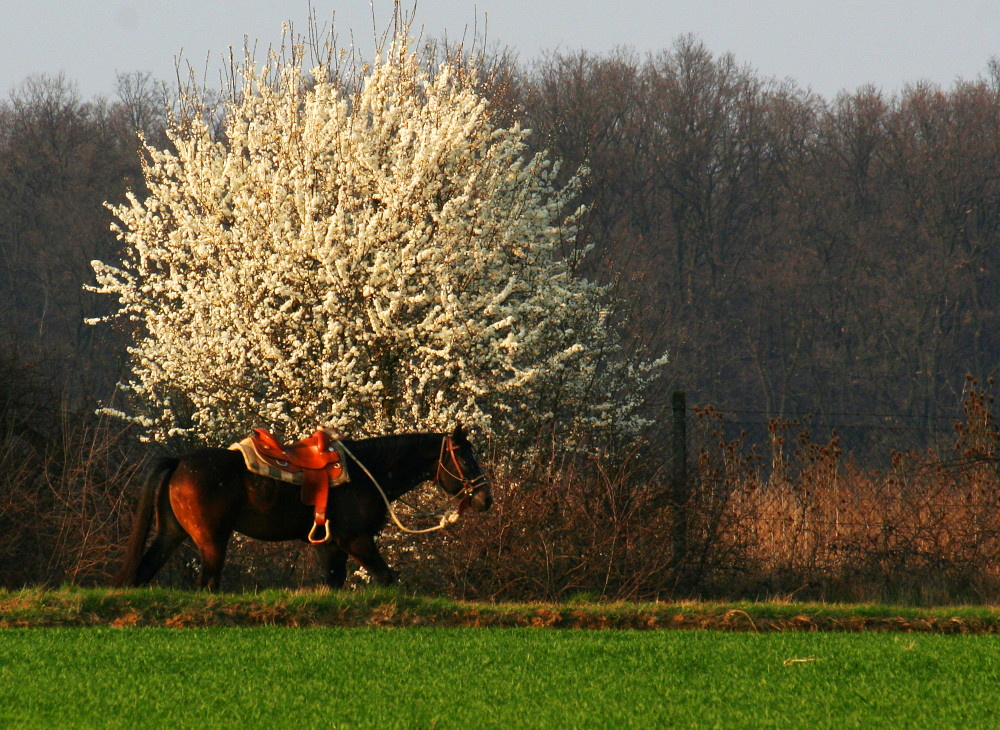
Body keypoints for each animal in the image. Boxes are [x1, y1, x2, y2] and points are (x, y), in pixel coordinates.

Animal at [113, 424, 492, 588]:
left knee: (144, 572)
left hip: (172, 533)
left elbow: (333, 583)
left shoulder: (332, 545)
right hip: (212, 541)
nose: (485, 498)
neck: (366, 472)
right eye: (465, 458)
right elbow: (387, 578)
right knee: (207, 583)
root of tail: (179, 461)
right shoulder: (357, 540)